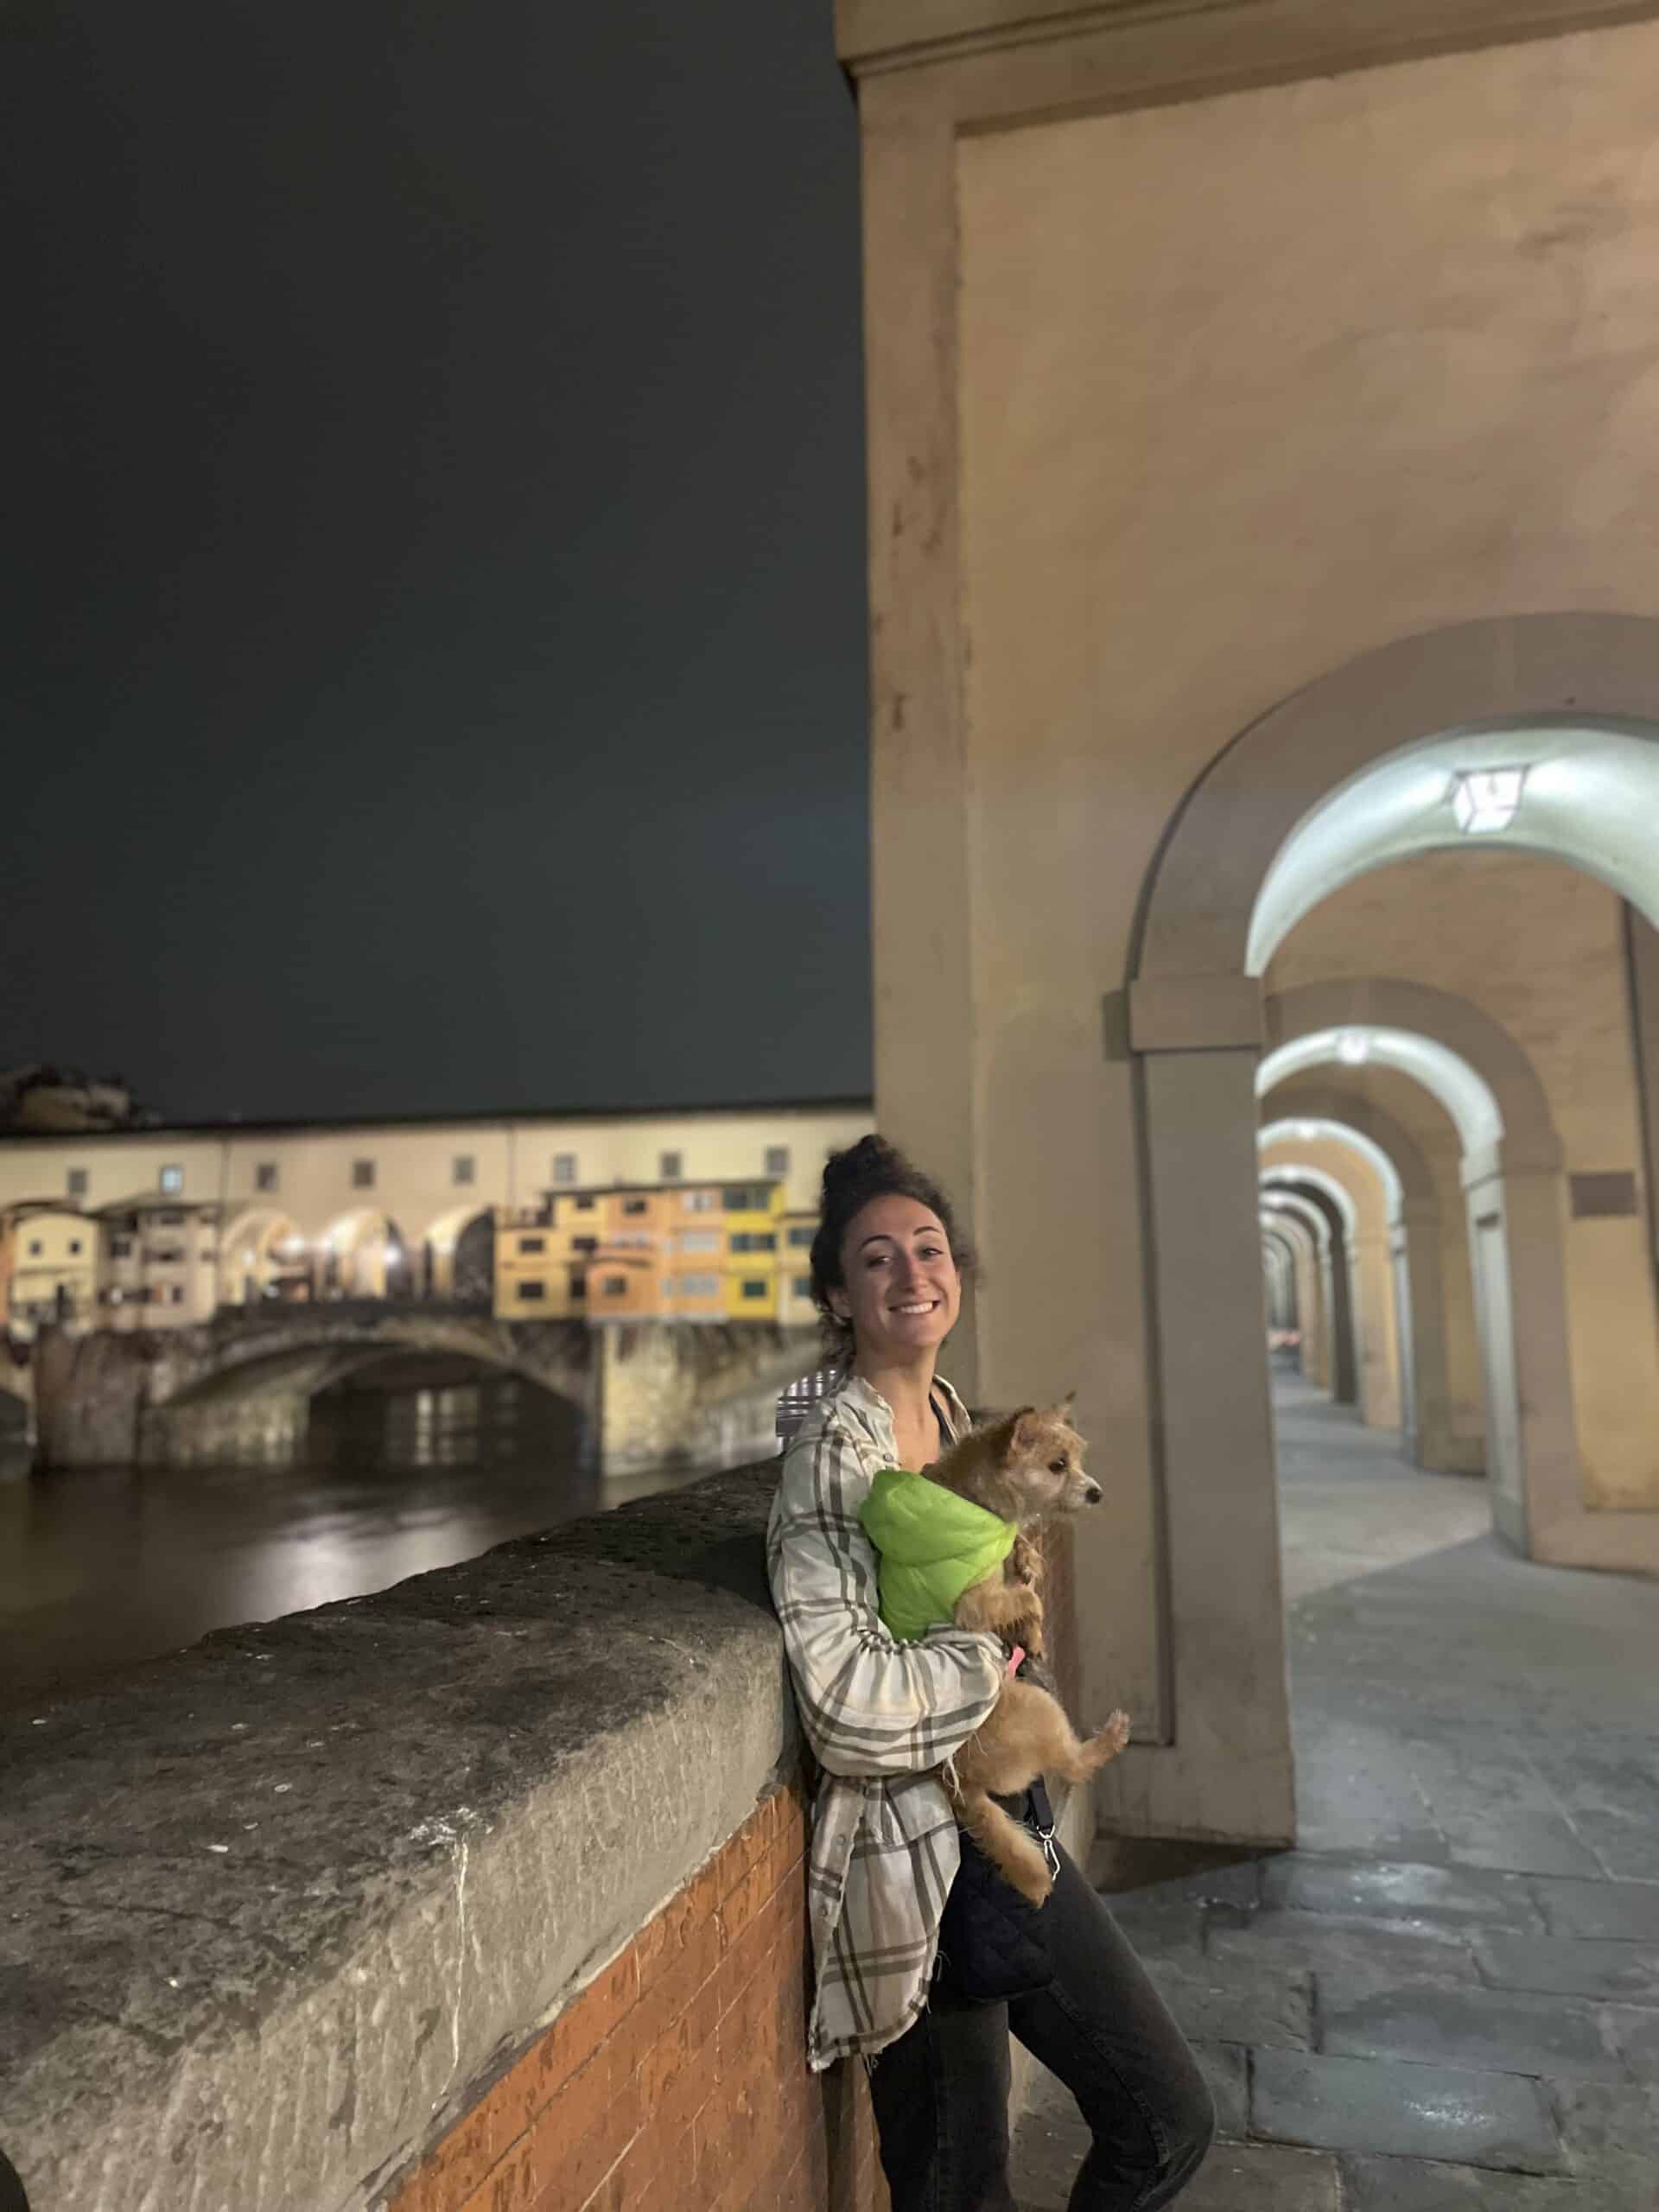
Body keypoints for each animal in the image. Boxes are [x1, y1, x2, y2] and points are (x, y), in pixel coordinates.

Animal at [938, 1397, 1132, 1902]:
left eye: (1078, 1460)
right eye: (1057, 1466)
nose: (1098, 1493)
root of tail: (962, 1786)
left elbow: (1023, 1570)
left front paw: (1027, 1560)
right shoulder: (975, 1602)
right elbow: (1029, 1599)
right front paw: (1036, 1628)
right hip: (1038, 1707)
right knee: (1075, 1764)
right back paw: (1111, 1736)